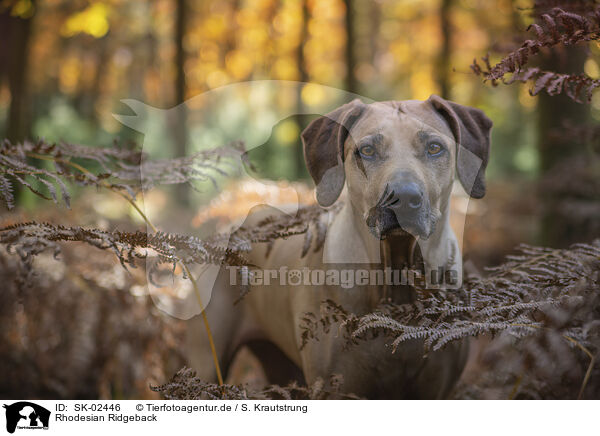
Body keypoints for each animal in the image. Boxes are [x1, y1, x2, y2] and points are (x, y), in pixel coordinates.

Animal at [188, 95, 492, 398]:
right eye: (367, 150)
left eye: (434, 148)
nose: (403, 198)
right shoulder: (334, 388)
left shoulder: (438, 387)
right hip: (208, 358)